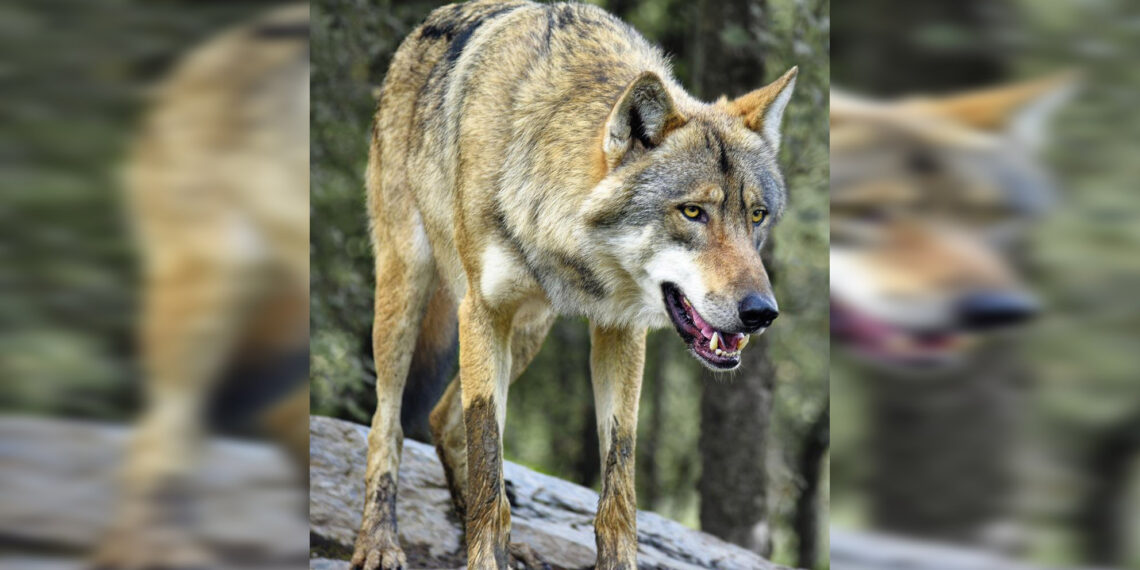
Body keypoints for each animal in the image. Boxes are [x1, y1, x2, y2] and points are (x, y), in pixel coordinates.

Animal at [353, 1, 798, 568]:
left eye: (757, 215)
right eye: (693, 212)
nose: (762, 312)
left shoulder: (621, 330)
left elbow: (619, 488)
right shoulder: (481, 312)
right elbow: (488, 461)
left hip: (528, 332)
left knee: (440, 419)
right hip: (407, 292)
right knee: (386, 424)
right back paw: (379, 542)